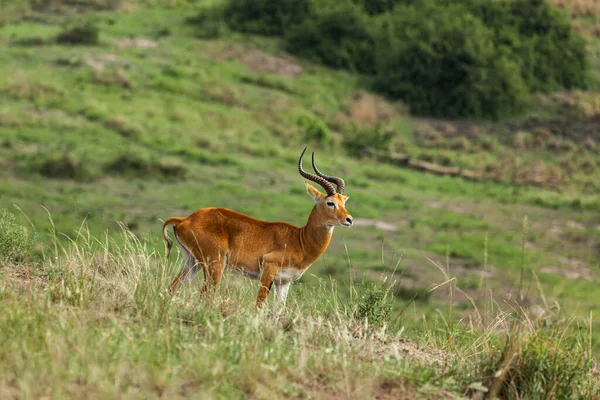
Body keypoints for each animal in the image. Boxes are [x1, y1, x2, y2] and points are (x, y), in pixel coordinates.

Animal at [162, 148, 354, 310]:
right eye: (330, 202)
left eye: (343, 202)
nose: (349, 219)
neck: (300, 240)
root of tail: (186, 219)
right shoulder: (268, 271)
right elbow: (259, 305)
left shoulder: (283, 283)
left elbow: (278, 311)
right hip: (215, 266)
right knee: (204, 296)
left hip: (192, 262)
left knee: (172, 288)